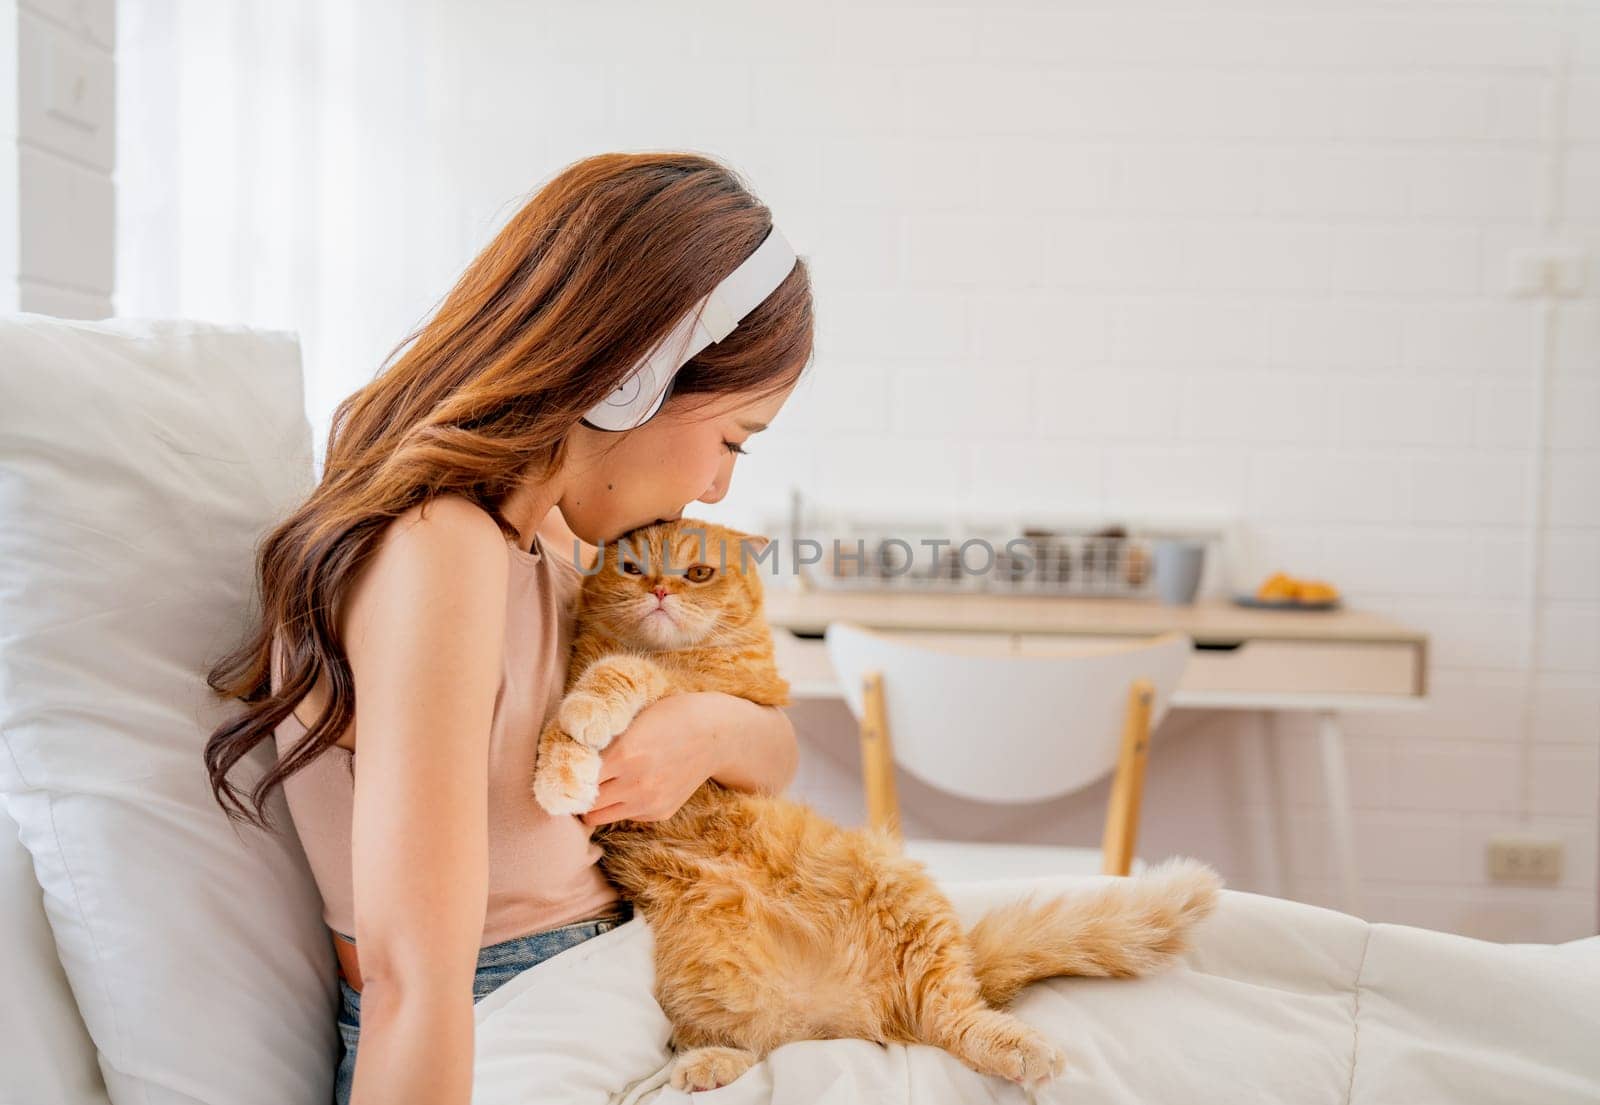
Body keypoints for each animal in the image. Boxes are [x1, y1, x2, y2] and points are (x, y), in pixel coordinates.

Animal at [531, 524, 1216, 1093]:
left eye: (697, 573)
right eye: (630, 567)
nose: (659, 590)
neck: (674, 650)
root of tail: (854, 1006)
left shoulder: (708, 691)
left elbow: (621, 672)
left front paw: (579, 732)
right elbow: (578, 706)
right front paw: (562, 768)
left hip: (908, 908)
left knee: (953, 1018)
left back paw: (1019, 1049)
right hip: (709, 993)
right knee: (765, 1043)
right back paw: (708, 1065)